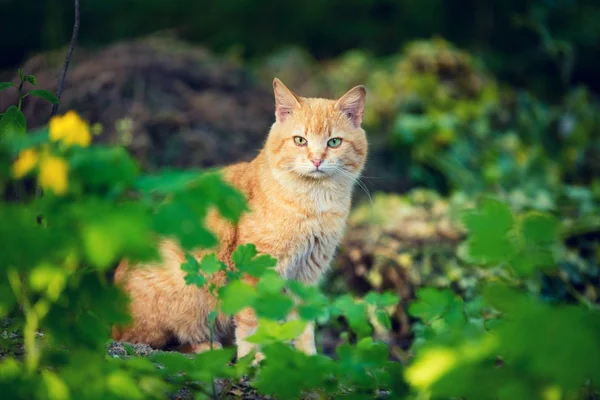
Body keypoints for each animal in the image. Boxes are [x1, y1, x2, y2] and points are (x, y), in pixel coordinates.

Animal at [111, 78, 366, 362]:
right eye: (300, 140)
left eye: (334, 142)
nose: (317, 160)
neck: (314, 204)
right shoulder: (255, 271)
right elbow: (252, 322)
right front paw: (254, 360)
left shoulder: (306, 275)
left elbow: (303, 325)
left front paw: (307, 360)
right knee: (151, 343)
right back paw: (205, 348)